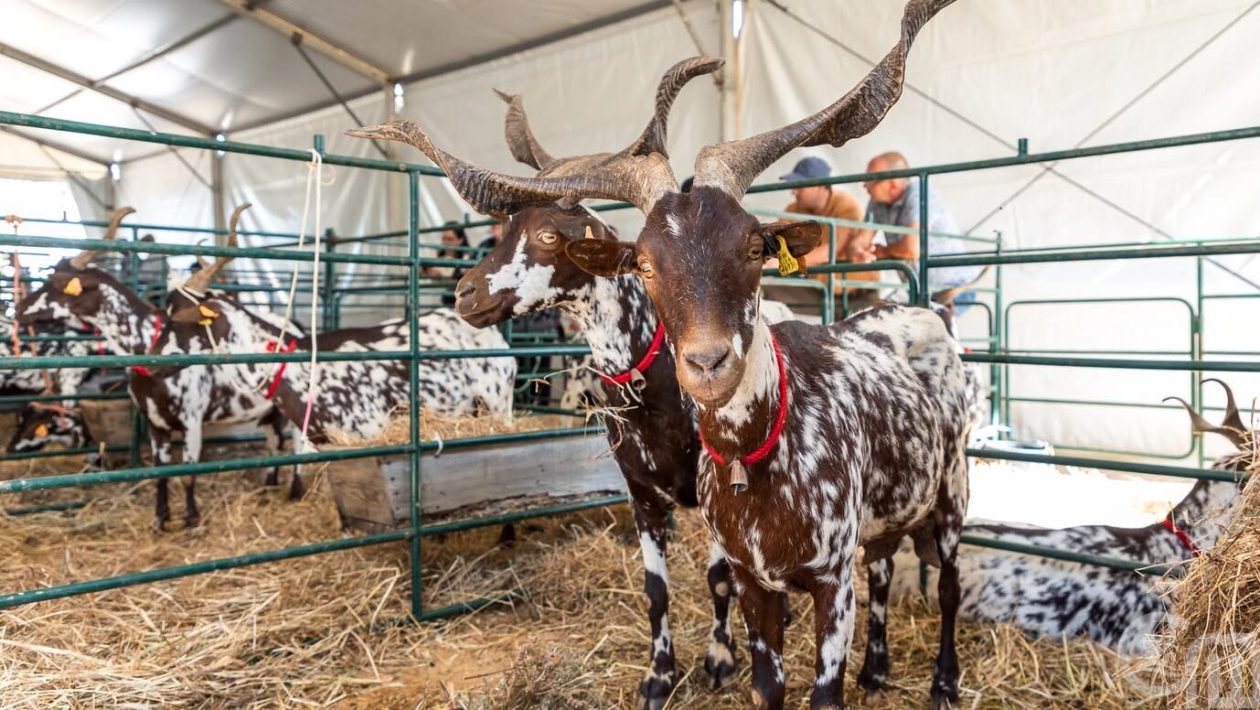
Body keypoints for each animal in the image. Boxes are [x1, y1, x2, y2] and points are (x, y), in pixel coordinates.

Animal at [353, 2, 964, 707]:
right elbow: (658, 590)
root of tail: (922, 312)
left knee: (947, 585)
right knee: (885, 563)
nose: (465, 293)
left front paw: (718, 661)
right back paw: (878, 667)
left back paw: (942, 679)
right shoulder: (644, 496)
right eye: (643, 261)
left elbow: (728, 592)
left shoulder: (813, 570)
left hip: (952, 492)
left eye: (755, 246)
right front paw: (658, 677)